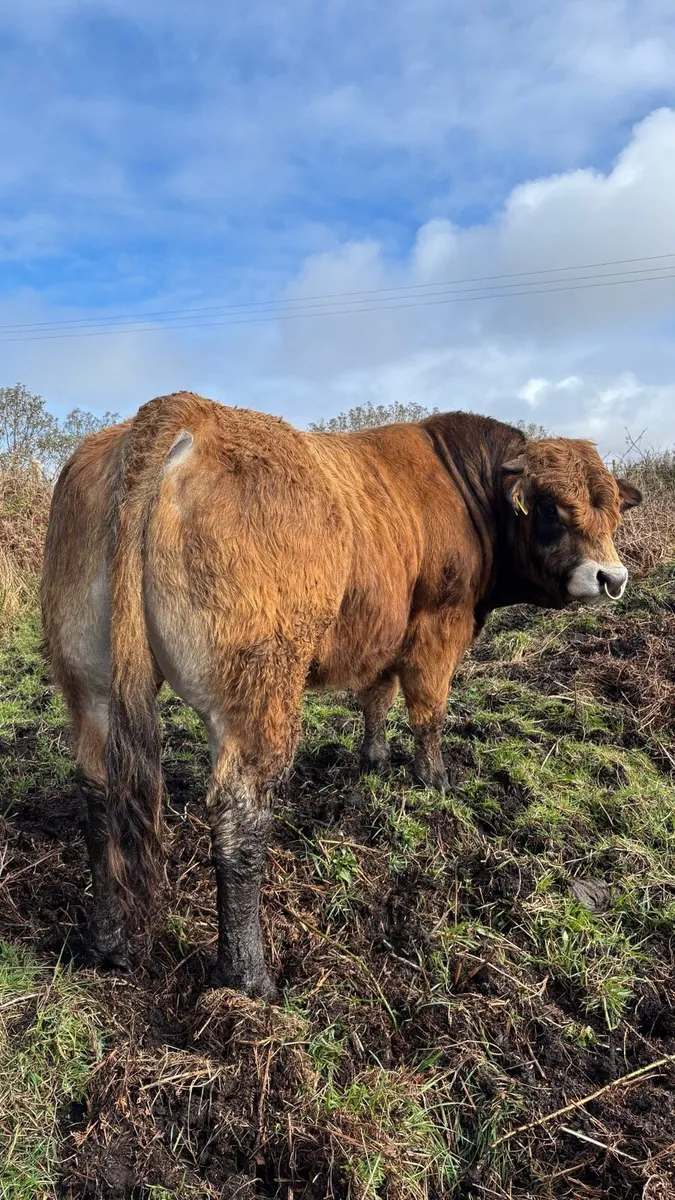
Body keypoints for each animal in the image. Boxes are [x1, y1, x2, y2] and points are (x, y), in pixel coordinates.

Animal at [40, 392, 641, 1000]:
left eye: (614, 512)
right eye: (551, 508)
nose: (612, 578)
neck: (462, 485)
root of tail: (186, 409)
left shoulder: (383, 633)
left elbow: (376, 698)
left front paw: (373, 763)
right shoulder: (437, 627)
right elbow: (428, 711)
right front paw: (435, 779)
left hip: (90, 685)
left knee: (98, 796)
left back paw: (105, 942)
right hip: (258, 693)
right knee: (238, 818)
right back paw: (249, 977)